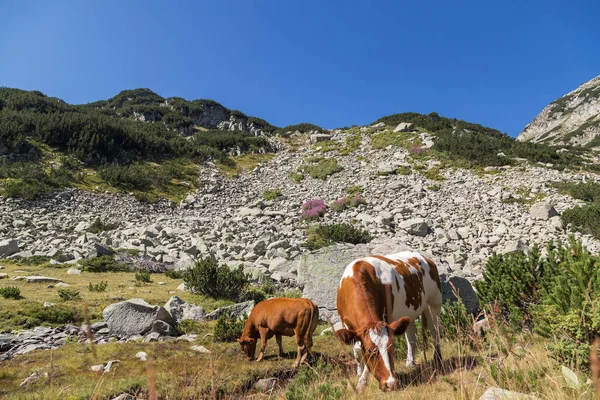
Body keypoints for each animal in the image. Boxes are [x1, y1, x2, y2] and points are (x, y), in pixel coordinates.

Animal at [336, 252, 442, 392]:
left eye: (391, 347)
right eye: (370, 351)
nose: (391, 383)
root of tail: (424, 257)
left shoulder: (385, 319)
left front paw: (362, 383)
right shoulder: (348, 325)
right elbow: (358, 351)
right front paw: (359, 374)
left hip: (433, 303)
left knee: (435, 331)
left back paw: (437, 359)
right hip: (408, 313)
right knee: (411, 337)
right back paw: (410, 363)